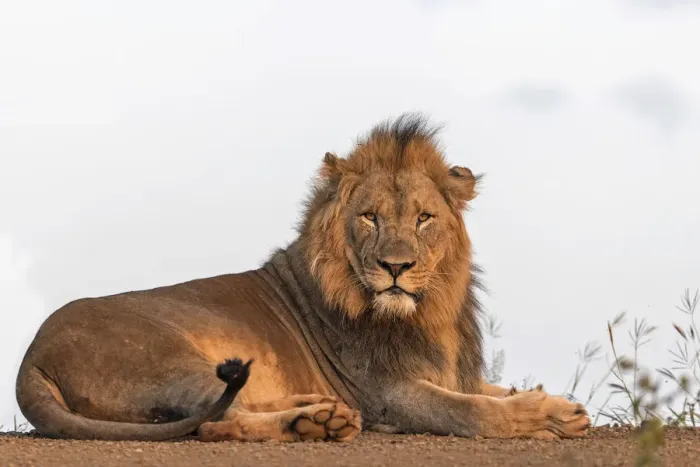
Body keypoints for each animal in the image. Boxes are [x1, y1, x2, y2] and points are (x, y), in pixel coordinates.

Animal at [16, 113, 590, 442]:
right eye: (369, 218)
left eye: (424, 218)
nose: (396, 267)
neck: (430, 312)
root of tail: (31, 357)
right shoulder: (385, 392)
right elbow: (472, 412)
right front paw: (542, 417)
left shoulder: (448, 373)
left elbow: (490, 390)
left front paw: (562, 407)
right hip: (167, 357)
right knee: (216, 419)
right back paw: (313, 424)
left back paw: (319, 409)